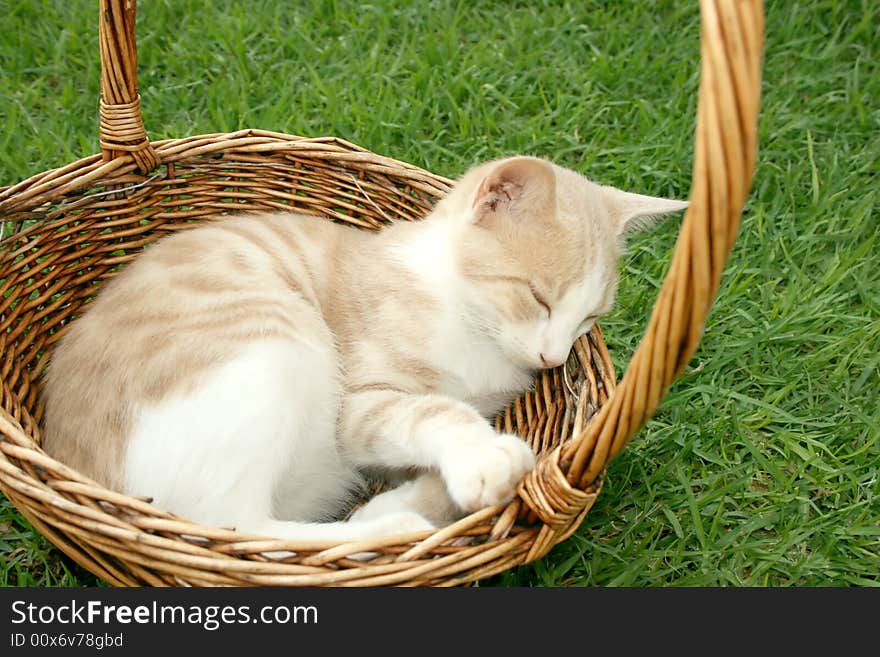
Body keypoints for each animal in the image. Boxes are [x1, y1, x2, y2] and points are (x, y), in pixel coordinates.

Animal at [41, 155, 688, 544]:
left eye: (589, 318)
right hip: (274, 343)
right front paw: (479, 458)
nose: (554, 359)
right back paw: (392, 523)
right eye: (538, 298)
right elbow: (437, 411)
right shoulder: (359, 404)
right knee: (238, 527)